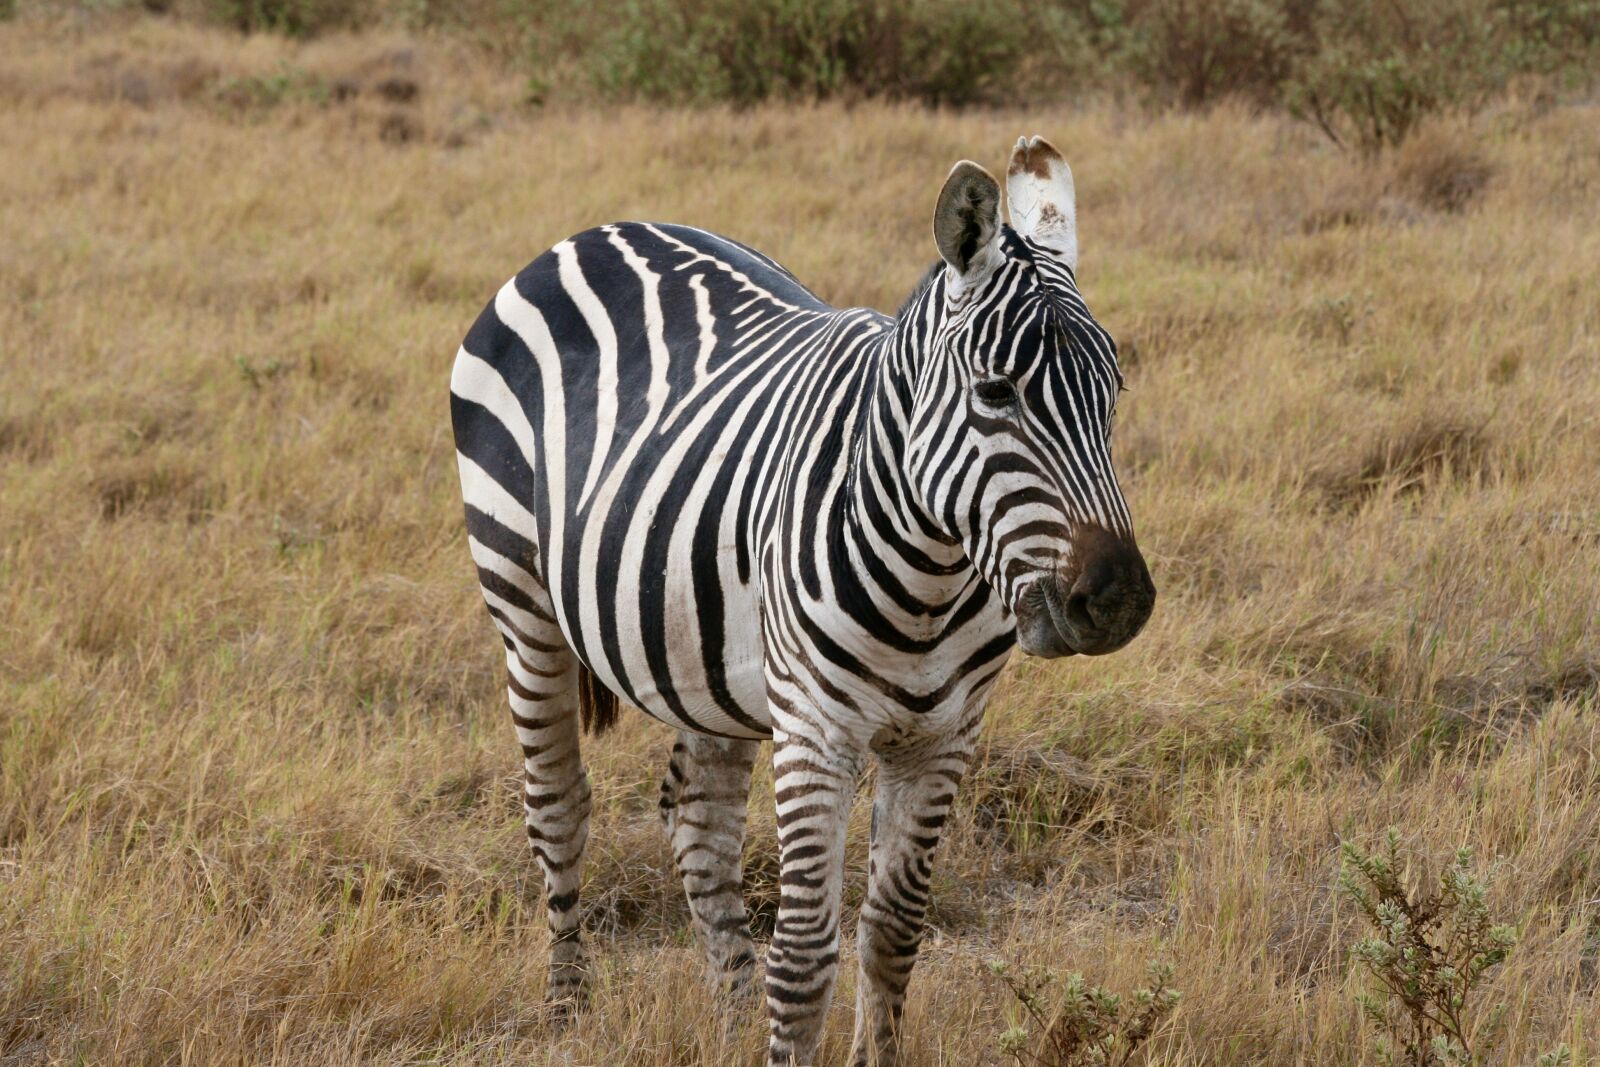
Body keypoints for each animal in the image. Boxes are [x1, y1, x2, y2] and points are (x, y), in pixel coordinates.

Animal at [449, 135, 1155, 1066]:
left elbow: (894, 932)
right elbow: (805, 954)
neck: (930, 578)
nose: (1118, 600)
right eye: (996, 392)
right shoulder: (818, 731)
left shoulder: (944, 738)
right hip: (521, 600)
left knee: (696, 816)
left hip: (709, 658)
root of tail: (595, 231)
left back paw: (728, 1025)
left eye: (1114, 392)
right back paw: (567, 1010)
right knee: (558, 805)